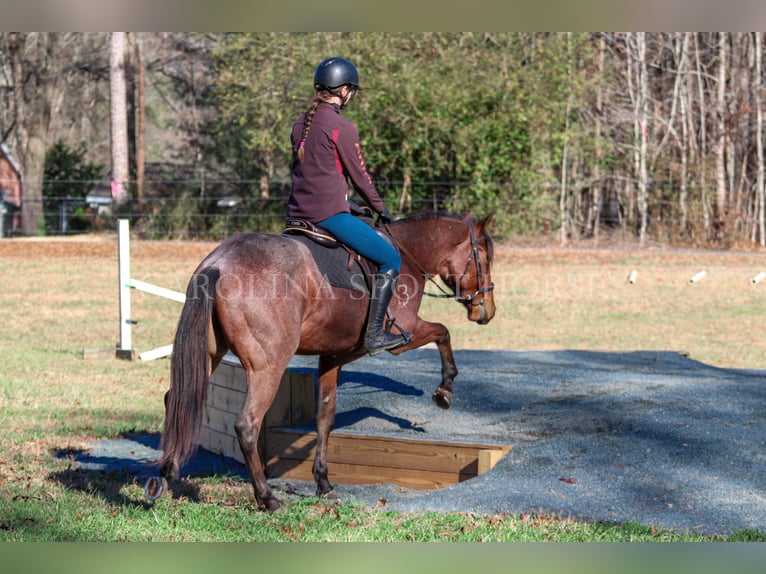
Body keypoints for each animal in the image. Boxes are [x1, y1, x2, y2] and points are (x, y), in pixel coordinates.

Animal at [147, 212, 498, 512]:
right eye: (485, 259)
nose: (487, 311)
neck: (409, 251)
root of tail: (219, 262)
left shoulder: (332, 357)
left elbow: (324, 418)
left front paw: (323, 482)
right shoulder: (406, 334)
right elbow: (443, 332)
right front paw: (445, 389)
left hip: (211, 355)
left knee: (176, 400)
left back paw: (166, 476)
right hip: (268, 366)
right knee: (246, 425)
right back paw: (267, 497)